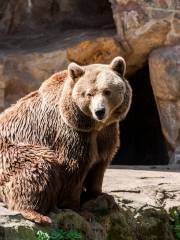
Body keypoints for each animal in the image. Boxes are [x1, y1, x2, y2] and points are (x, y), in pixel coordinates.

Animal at [0, 55, 131, 223]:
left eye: (107, 91)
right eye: (89, 94)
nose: (99, 111)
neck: (93, 125)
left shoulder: (106, 133)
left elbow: (100, 165)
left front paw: (101, 196)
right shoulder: (72, 133)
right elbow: (73, 167)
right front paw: (79, 209)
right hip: (11, 153)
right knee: (39, 164)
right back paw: (36, 213)